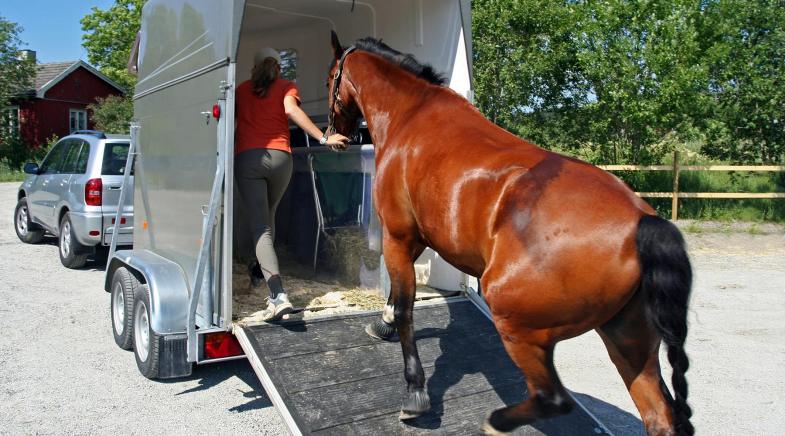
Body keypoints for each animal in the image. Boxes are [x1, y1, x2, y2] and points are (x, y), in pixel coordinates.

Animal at [324, 31, 692, 436]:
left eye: (329, 80)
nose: (333, 134)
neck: (411, 116)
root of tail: (644, 222)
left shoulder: (398, 236)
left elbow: (405, 307)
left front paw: (415, 391)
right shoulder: (415, 239)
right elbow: (397, 299)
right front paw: (384, 324)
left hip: (519, 325)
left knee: (554, 399)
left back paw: (497, 421)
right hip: (628, 342)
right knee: (659, 416)